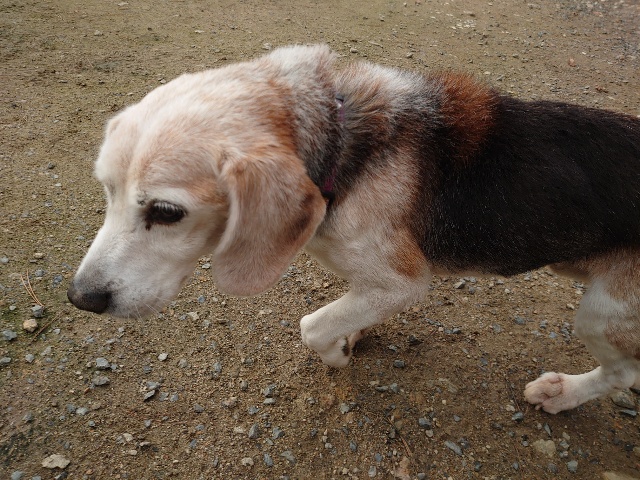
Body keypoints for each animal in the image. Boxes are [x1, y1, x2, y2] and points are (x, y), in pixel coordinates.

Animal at [67, 44, 640, 414]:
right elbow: (344, 310)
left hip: (605, 312)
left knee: (623, 372)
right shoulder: (371, 283)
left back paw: (564, 394)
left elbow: (312, 325)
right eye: (105, 190)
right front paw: (353, 332)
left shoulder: (403, 281)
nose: (81, 298)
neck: (342, 145)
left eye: (167, 212)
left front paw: (337, 353)